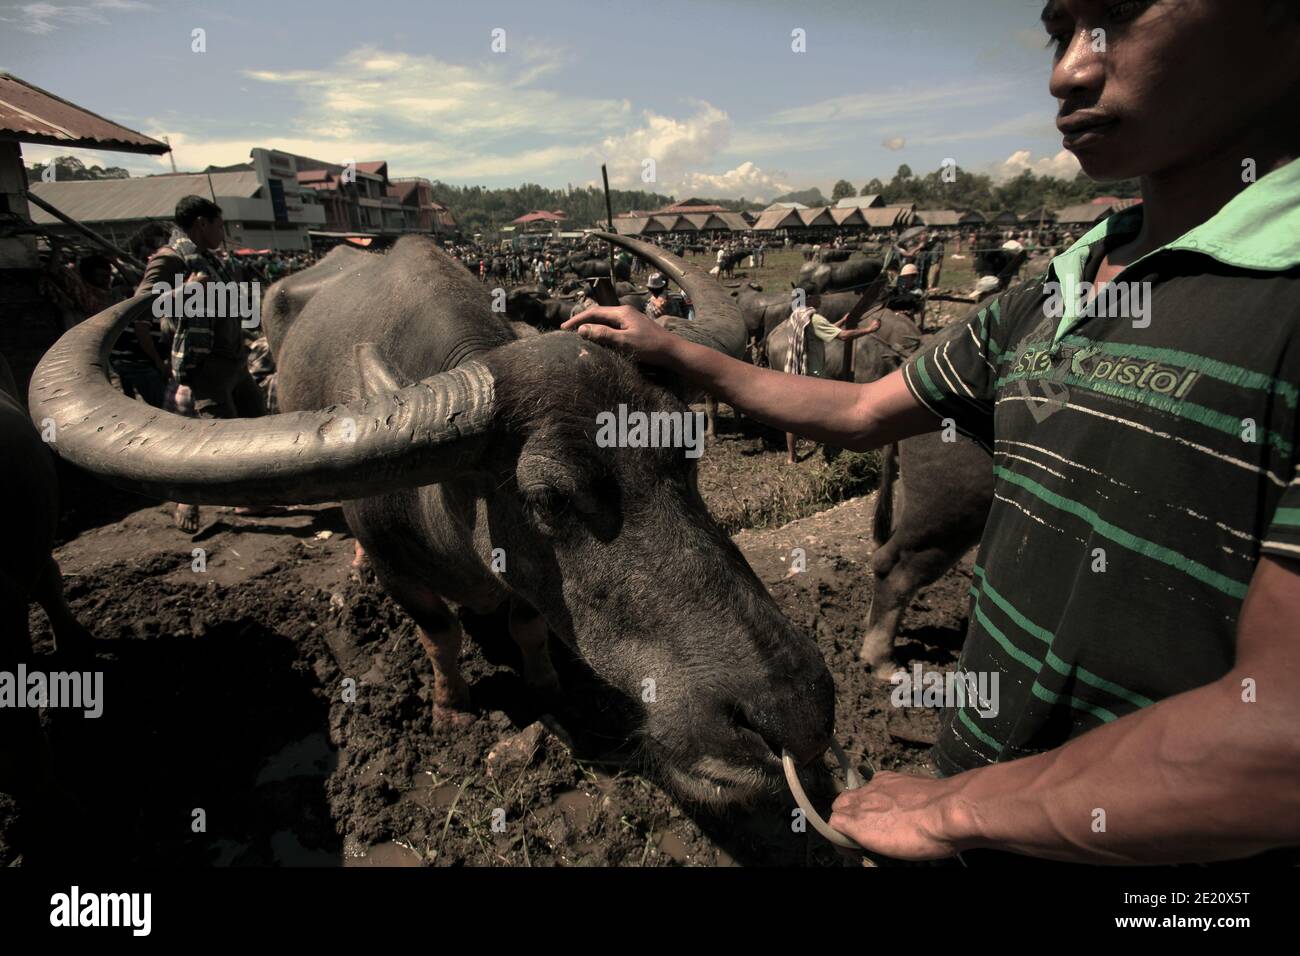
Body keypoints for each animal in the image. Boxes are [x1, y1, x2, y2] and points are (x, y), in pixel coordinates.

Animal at [38, 234, 842, 806]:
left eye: (688, 452)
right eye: (549, 498)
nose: (793, 714)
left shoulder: (519, 583)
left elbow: (526, 623)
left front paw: (546, 683)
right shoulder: (401, 568)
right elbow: (439, 634)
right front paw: (452, 708)